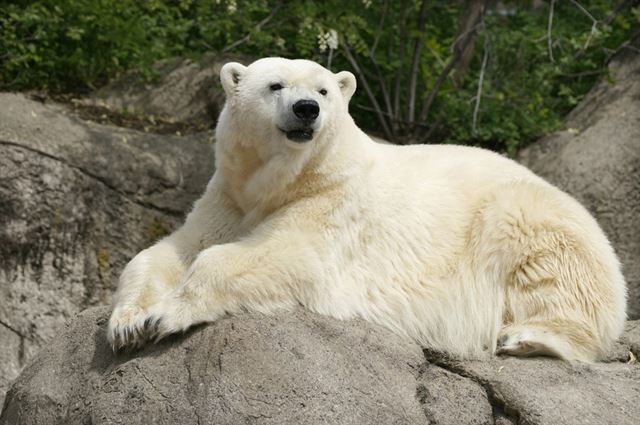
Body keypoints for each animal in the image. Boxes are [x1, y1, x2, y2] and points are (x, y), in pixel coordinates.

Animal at [107, 57, 628, 362]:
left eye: (323, 91)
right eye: (275, 85)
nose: (306, 110)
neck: (289, 179)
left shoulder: (334, 203)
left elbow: (284, 255)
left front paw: (163, 316)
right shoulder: (229, 197)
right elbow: (171, 250)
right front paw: (127, 322)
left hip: (533, 218)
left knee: (556, 273)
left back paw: (524, 338)